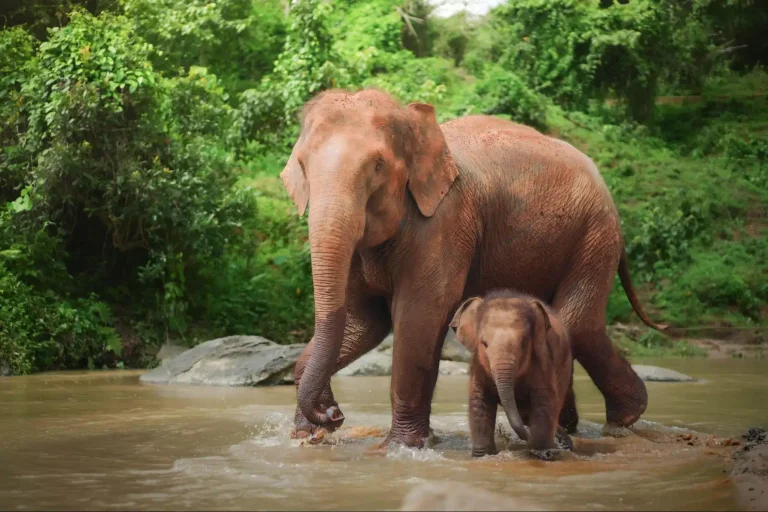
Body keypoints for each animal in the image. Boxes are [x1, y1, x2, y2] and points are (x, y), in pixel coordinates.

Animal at [450, 290, 574, 459]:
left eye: (523, 343)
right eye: (484, 343)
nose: (527, 439)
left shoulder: (541, 361)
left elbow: (543, 402)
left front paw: (543, 453)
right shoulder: (478, 366)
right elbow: (479, 402)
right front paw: (482, 456)